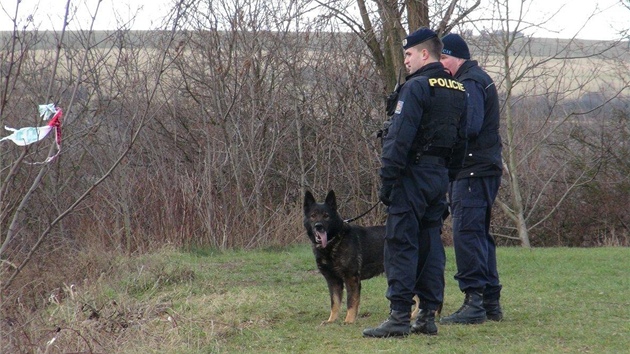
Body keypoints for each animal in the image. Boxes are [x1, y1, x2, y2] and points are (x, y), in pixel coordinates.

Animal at [304, 191, 388, 324]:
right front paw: (331, 321)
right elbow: (335, 303)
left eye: (326, 216)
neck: (334, 242)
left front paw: (349, 321)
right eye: (313, 215)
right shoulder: (333, 281)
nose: (318, 226)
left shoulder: (351, 279)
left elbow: (351, 302)